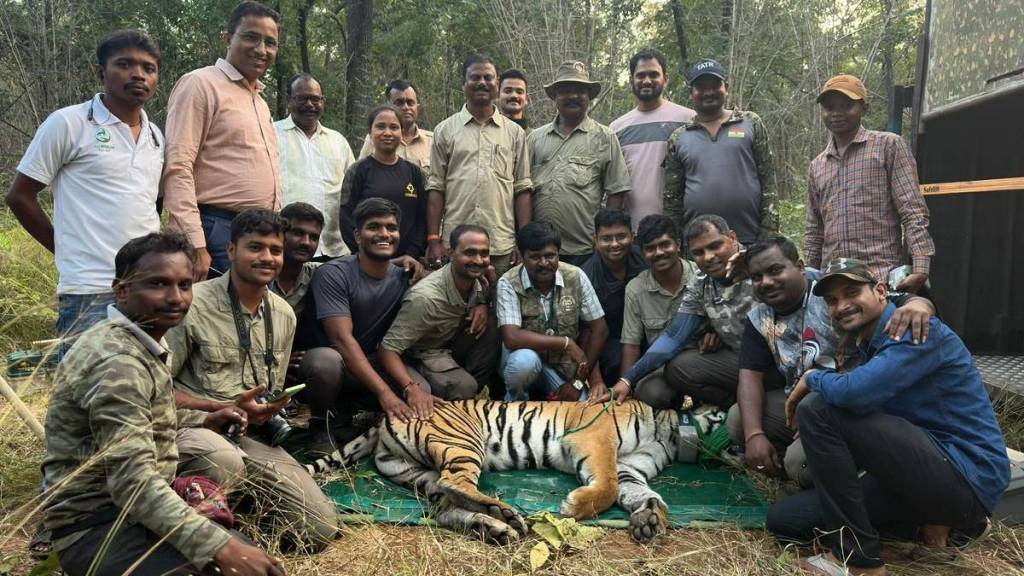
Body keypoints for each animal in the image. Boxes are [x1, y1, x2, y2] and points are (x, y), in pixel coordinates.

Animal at [305, 397, 688, 541]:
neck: (667, 431)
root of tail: (386, 417)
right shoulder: (593, 435)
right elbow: (607, 485)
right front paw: (572, 508)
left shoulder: (629, 468)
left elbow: (641, 492)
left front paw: (650, 518)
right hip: (463, 440)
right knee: (455, 482)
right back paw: (504, 513)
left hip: (415, 471)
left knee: (444, 506)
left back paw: (494, 526)